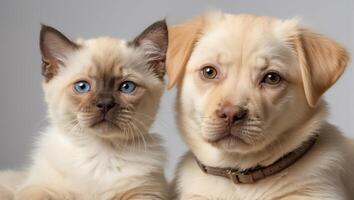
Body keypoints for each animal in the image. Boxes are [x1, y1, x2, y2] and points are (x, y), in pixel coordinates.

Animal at [2, 19, 169, 200]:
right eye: (82, 86)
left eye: (127, 87)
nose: (105, 104)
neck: (102, 153)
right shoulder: (39, 188)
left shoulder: (146, 193)